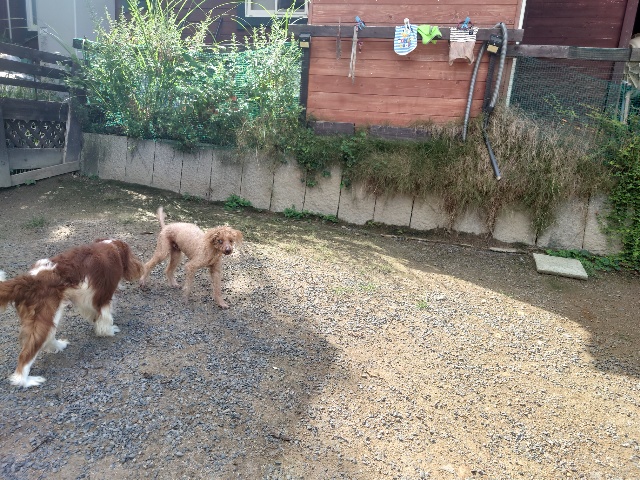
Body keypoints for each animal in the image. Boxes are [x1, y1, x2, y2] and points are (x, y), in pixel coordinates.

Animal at [0, 239, 144, 388]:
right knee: (27, 353)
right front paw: (109, 331)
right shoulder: (104, 295)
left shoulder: (88, 298)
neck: (112, 246)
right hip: (46, 316)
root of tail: (27, 279)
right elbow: (105, 318)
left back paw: (59, 345)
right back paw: (26, 380)